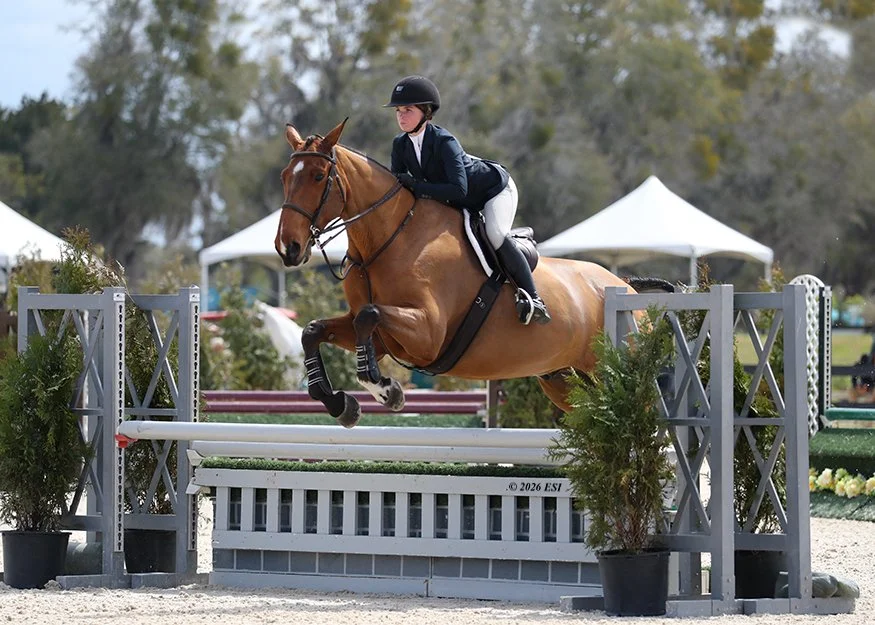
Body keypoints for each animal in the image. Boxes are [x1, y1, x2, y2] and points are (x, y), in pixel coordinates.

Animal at [275, 119, 647, 427]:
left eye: (318, 177)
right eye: (285, 177)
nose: (287, 247)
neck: (387, 241)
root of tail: (625, 287)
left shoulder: (427, 333)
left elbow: (369, 314)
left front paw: (387, 392)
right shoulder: (380, 339)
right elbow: (314, 331)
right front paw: (342, 405)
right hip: (563, 379)